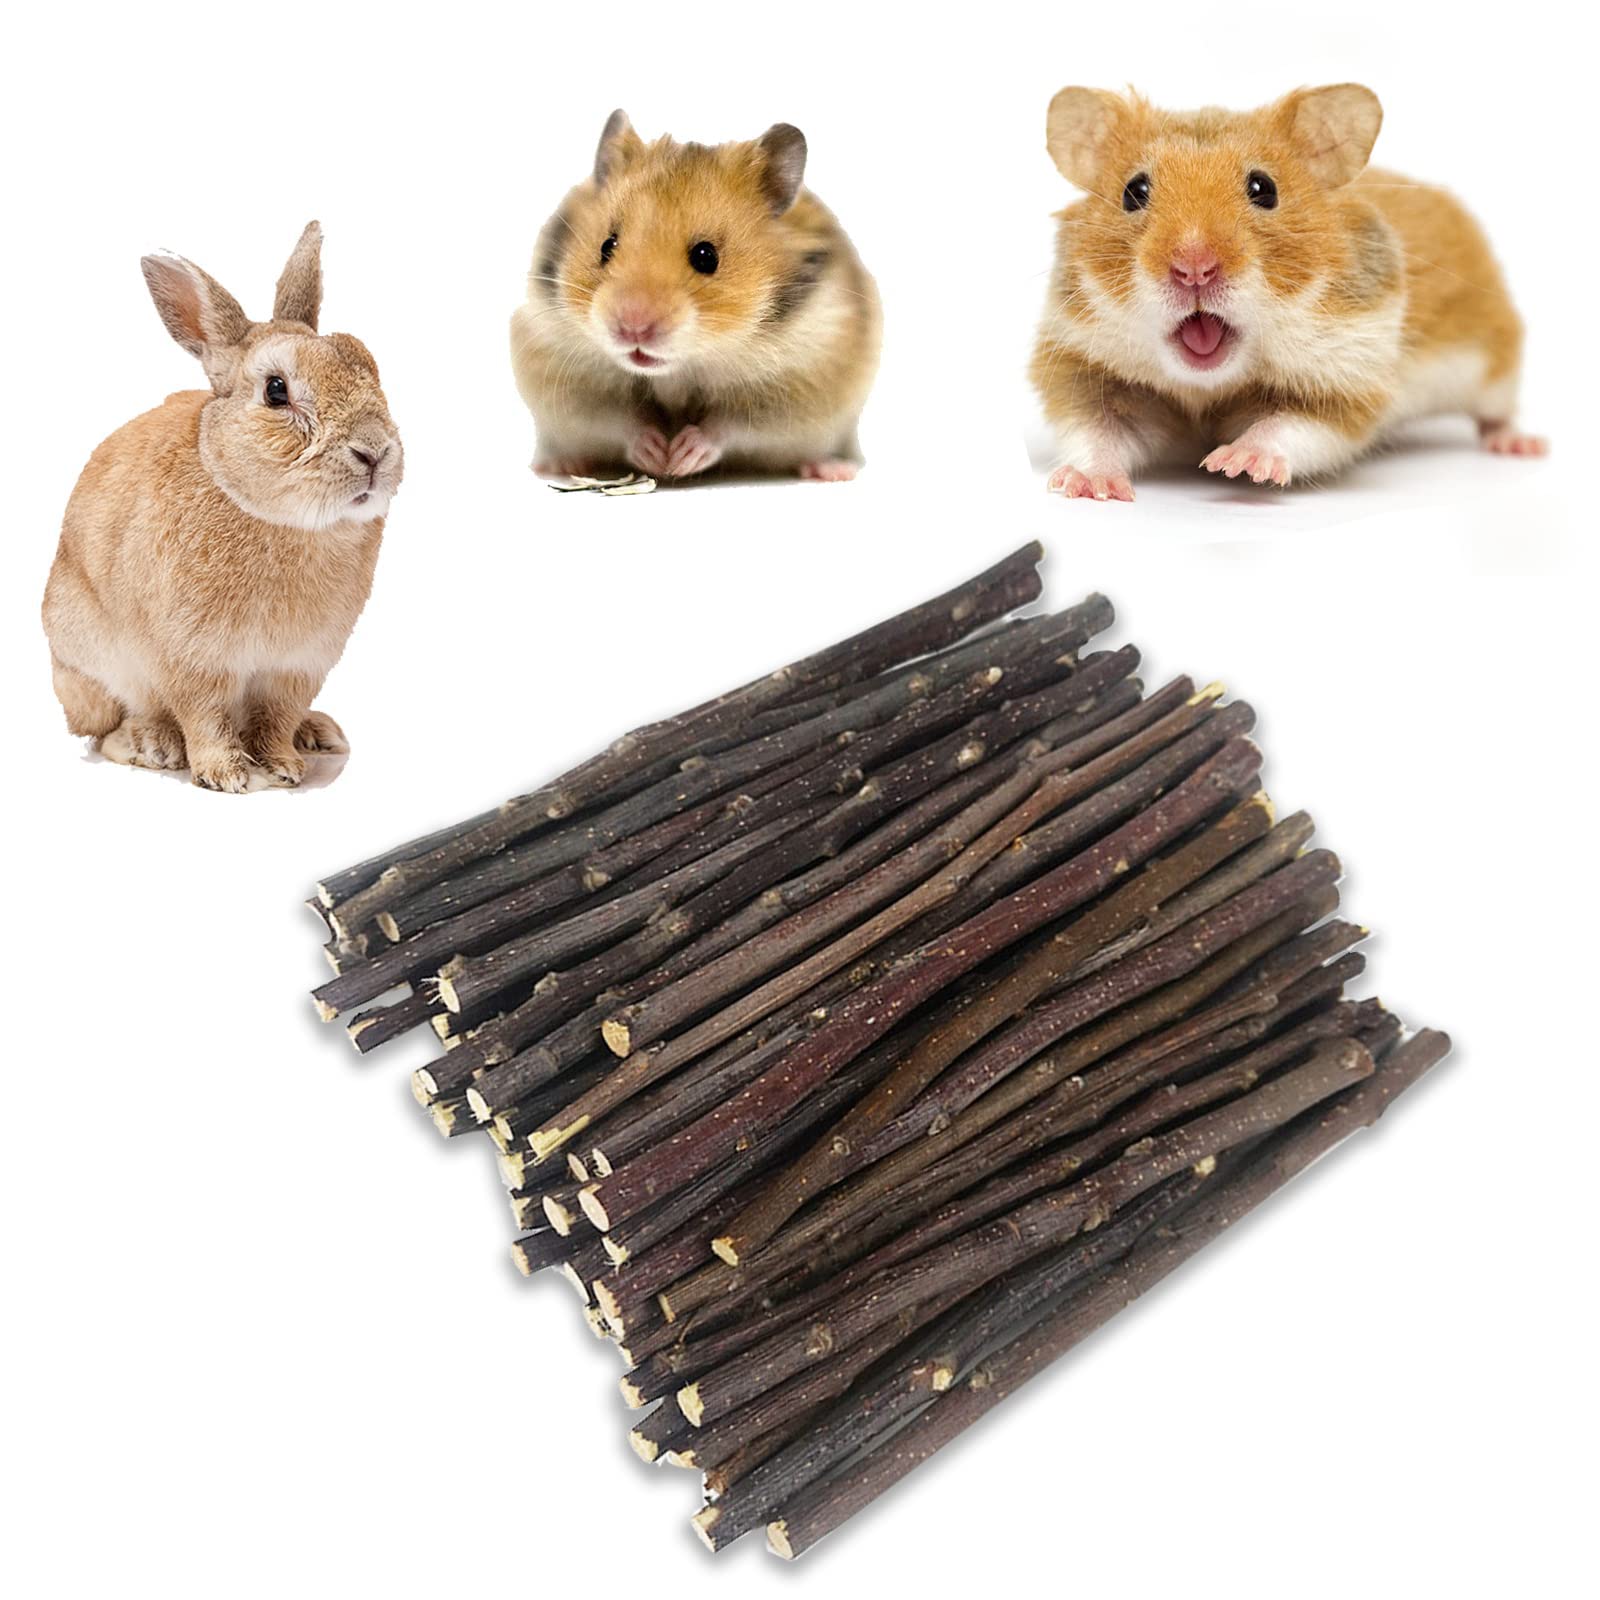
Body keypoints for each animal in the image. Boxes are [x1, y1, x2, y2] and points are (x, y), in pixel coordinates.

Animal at [41, 222, 402, 792]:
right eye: (276, 391)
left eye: (366, 360)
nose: (374, 451)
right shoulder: (194, 659)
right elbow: (204, 715)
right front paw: (227, 775)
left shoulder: (298, 666)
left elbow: (276, 717)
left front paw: (283, 765)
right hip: (91, 663)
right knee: (104, 729)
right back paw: (153, 744)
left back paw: (317, 733)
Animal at [511, 111, 881, 483]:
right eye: (607, 245)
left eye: (706, 256)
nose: (632, 328)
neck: (678, 370)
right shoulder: (567, 375)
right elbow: (622, 421)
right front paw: (657, 456)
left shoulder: (799, 382)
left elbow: (730, 425)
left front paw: (680, 459)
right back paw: (558, 465)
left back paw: (833, 470)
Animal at [1030, 83, 1544, 499]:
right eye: (1133, 192)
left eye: (1264, 188)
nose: (1194, 267)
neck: (1207, 386)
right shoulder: (1086, 367)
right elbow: (1097, 431)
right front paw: (1089, 485)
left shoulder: (1346, 379)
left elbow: (1289, 426)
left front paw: (1234, 463)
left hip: (1495, 367)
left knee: (1496, 412)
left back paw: (1521, 445)